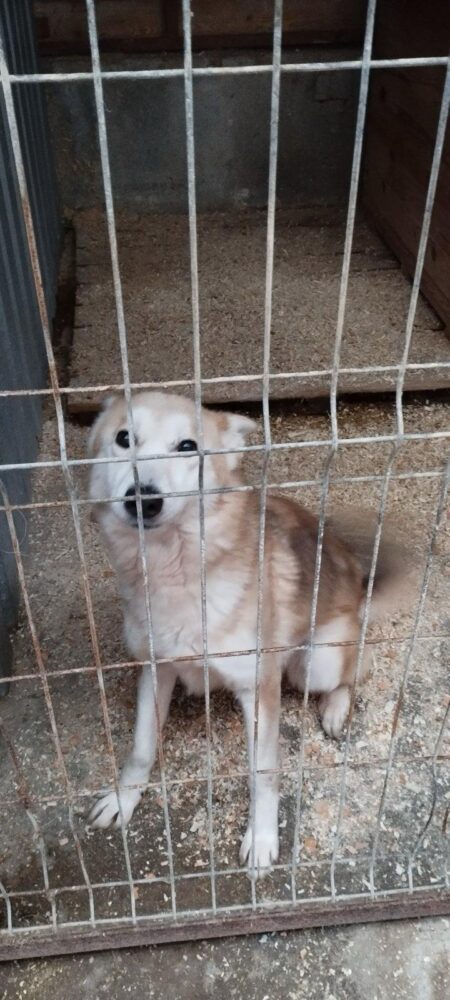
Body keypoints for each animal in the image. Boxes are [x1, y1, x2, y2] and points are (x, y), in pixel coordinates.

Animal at [87, 390, 408, 874]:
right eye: (124, 438)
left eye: (188, 446)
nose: (144, 500)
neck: (174, 570)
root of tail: (357, 583)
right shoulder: (155, 669)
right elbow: (142, 747)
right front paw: (124, 799)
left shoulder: (259, 689)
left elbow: (263, 774)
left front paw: (261, 837)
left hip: (317, 661)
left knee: (355, 670)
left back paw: (336, 708)